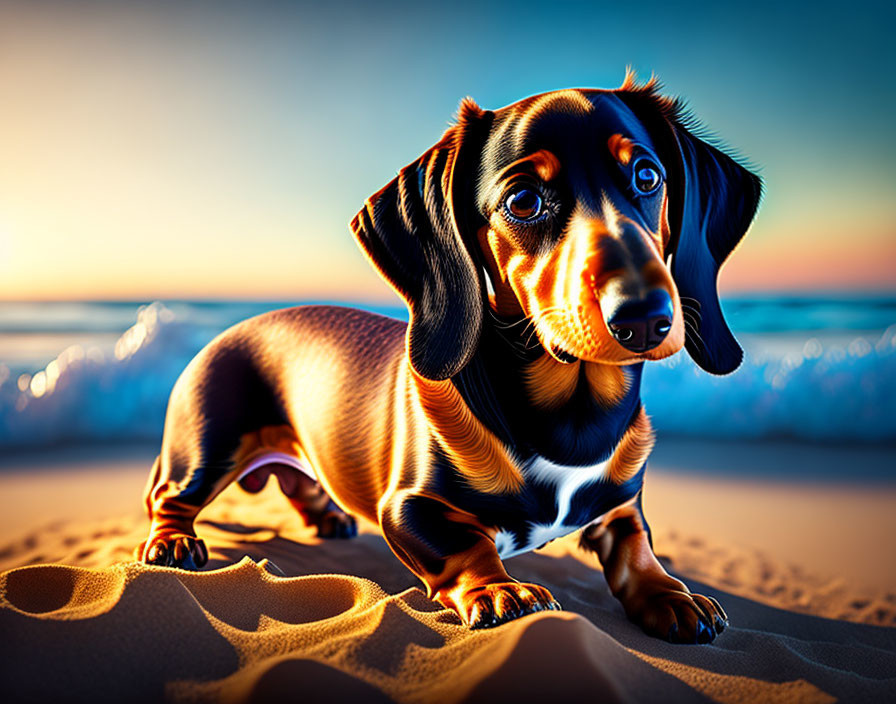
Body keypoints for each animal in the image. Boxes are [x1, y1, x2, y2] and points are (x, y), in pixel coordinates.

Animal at [136, 75, 760, 644]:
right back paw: (173, 541)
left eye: (648, 177)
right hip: (208, 444)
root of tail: (232, 327)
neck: (571, 423)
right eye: (524, 200)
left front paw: (672, 595)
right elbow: (467, 546)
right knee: (168, 496)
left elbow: (639, 553)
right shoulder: (408, 505)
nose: (645, 317)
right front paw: (500, 589)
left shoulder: (623, 505)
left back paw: (329, 516)